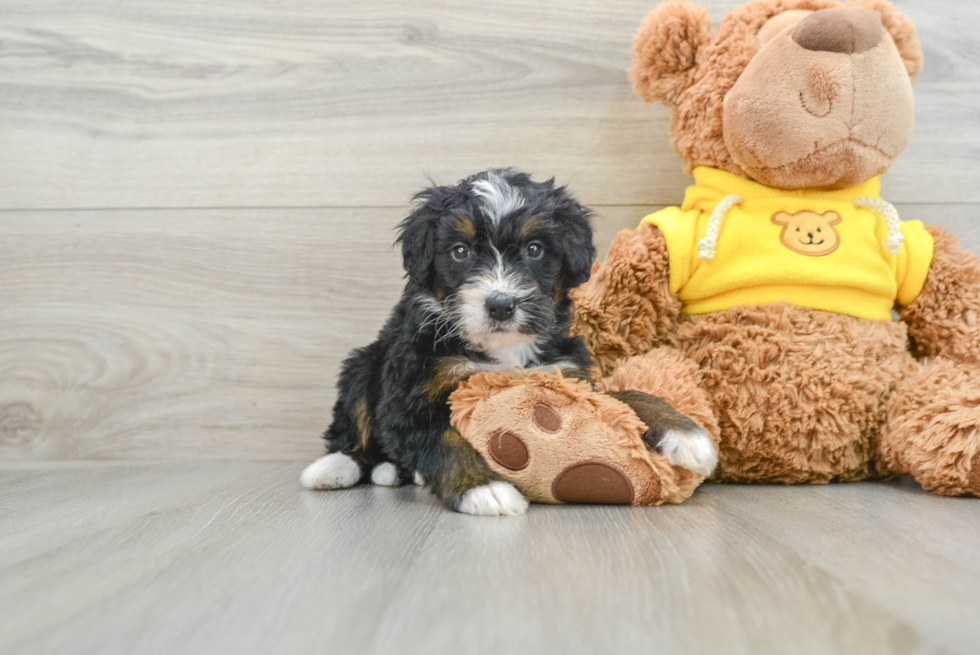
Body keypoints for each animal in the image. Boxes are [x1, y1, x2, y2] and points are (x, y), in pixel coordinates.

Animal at [298, 170, 712, 516]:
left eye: (534, 249)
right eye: (460, 251)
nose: (500, 304)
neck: (503, 347)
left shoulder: (566, 373)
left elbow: (626, 396)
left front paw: (686, 434)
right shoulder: (411, 394)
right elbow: (444, 440)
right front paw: (485, 490)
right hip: (363, 364)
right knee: (353, 425)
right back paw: (333, 468)